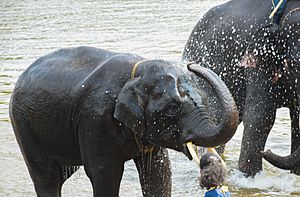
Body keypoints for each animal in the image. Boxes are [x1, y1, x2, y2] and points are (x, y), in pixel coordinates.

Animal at [9, 45, 239, 196]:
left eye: (206, 99)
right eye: (173, 108)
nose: (191, 65)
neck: (137, 72)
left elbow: (158, 174)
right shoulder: (95, 119)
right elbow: (104, 174)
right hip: (22, 124)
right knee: (47, 177)